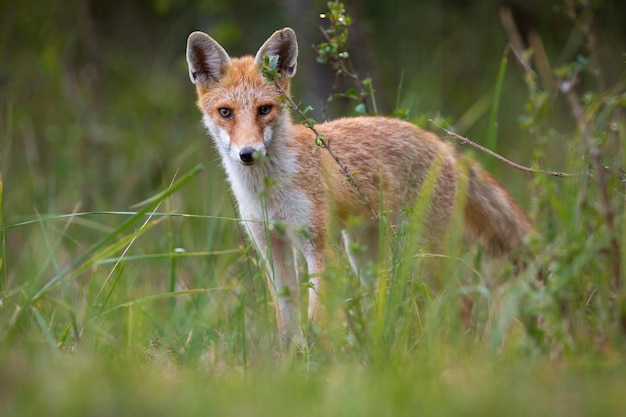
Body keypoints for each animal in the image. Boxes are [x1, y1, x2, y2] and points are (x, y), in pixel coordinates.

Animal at [185, 26, 532, 344]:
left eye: (264, 110)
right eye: (225, 112)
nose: (248, 154)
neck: (268, 192)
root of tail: (442, 144)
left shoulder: (320, 246)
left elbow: (318, 324)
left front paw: (317, 364)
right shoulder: (271, 246)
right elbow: (288, 326)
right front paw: (289, 364)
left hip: (422, 252)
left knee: (464, 301)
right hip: (365, 256)